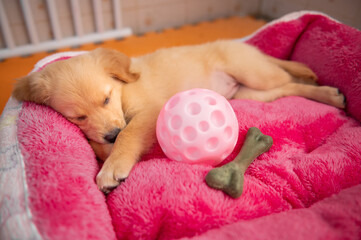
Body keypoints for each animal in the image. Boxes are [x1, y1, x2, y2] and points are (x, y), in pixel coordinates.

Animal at [11, 39, 344, 193]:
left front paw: (112, 167)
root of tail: (241, 44)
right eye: (78, 117)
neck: (123, 91)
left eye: (106, 98)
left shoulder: (150, 111)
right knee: (289, 87)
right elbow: (103, 142)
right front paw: (106, 152)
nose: (110, 135)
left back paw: (316, 81)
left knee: (283, 71)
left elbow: (130, 133)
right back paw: (326, 93)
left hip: (254, 74)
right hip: (251, 94)